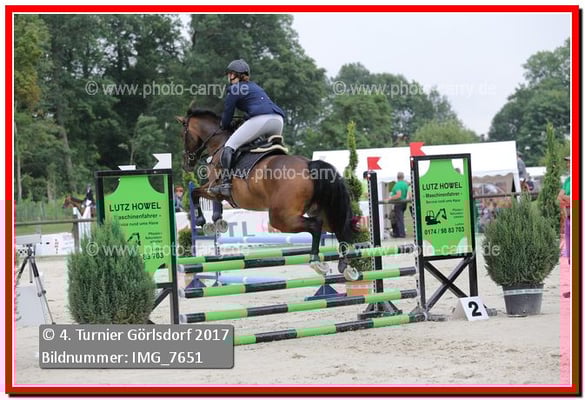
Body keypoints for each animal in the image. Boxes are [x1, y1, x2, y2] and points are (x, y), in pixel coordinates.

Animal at [176, 107, 359, 280]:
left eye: (183, 135)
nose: (186, 164)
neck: (219, 144)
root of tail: (309, 166)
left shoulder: (214, 188)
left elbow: (195, 193)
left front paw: (203, 222)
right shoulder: (215, 191)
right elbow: (203, 197)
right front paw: (218, 221)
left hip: (281, 218)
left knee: (315, 225)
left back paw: (316, 261)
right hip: (324, 212)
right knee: (337, 228)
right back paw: (346, 266)